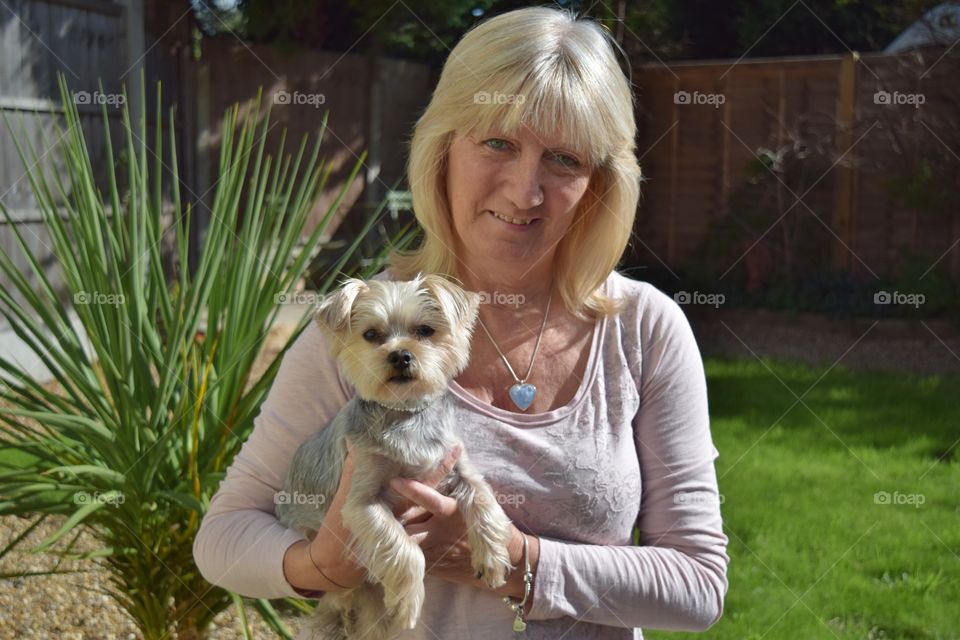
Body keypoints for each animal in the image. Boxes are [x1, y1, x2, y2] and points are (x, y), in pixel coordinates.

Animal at [276, 276, 516, 640]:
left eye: (425, 331)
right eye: (371, 334)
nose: (400, 355)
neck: (405, 415)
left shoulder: (458, 465)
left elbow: (484, 500)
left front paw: (492, 559)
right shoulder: (362, 499)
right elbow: (404, 548)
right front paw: (408, 603)